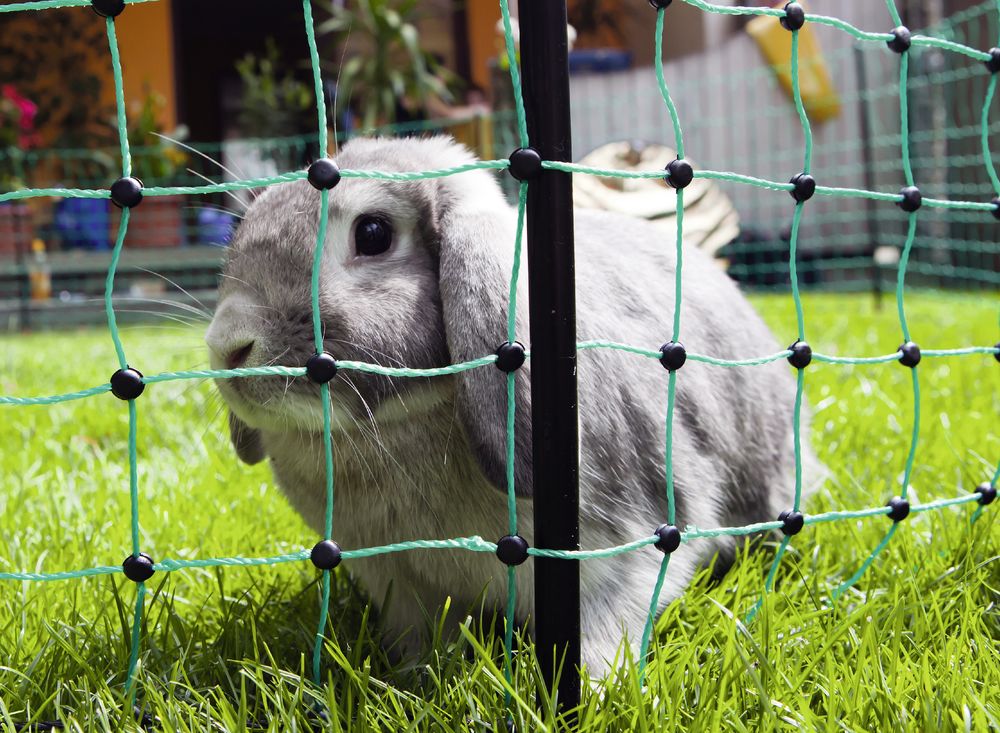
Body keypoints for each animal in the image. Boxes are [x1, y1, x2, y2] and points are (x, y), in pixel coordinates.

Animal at [205, 136, 820, 676]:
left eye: (373, 234)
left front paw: (592, 691)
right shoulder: (400, 584)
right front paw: (413, 679)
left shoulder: (621, 554)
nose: (228, 346)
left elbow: (605, 631)